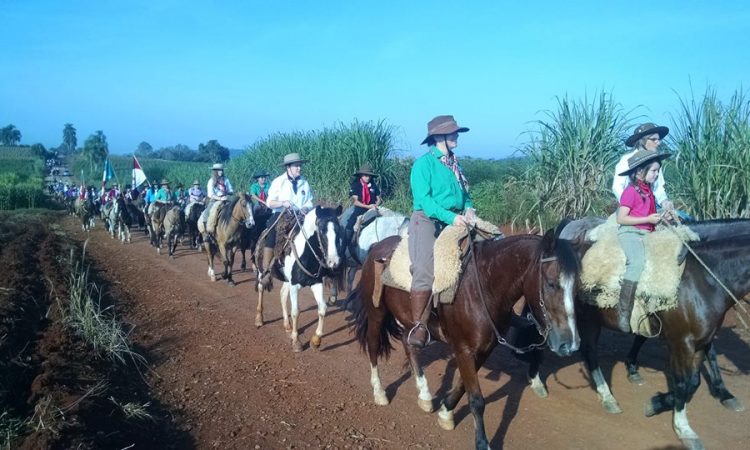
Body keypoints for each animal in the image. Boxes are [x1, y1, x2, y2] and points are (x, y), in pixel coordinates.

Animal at [254, 206, 346, 354]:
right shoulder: (295, 285)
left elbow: (322, 308)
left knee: (282, 295)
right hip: (262, 271)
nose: (334, 262)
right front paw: (296, 341)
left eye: (338, 229)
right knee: (261, 288)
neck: (306, 252)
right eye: (321, 230)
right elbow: (296, 311)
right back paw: (259, 319)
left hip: (287, 280)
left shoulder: (315, 283)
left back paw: (287, 326)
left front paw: (316, 341)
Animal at [352, 227, 580, 448]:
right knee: (373, 346)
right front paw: (482, 442)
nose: (570, 344)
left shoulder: (484, 349)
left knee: (410, 347)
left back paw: (424, 395)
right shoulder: (464, 349)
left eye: (577, 286)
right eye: (551, 283)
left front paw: (445, 412)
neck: (483, 288)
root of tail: (377, 247)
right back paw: (380, 393)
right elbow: (477, 399)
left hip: (407, 321)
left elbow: (463, 386)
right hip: (376, 313)